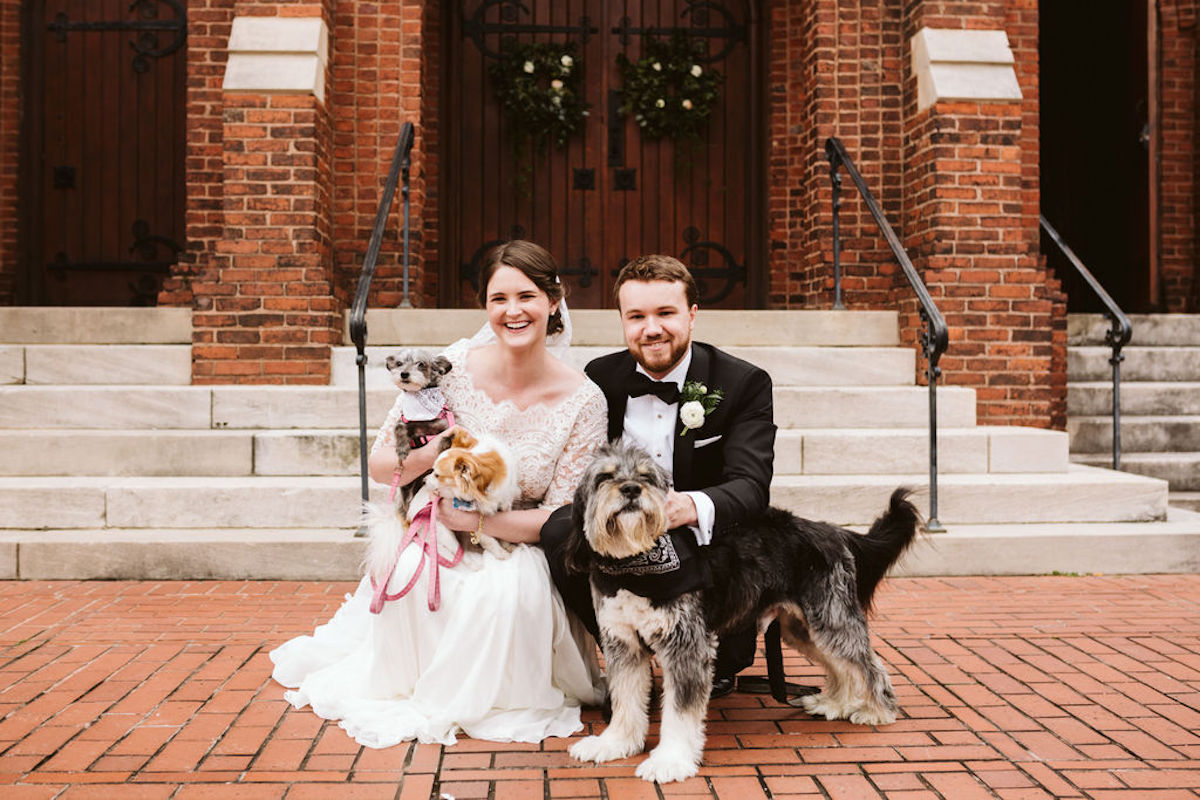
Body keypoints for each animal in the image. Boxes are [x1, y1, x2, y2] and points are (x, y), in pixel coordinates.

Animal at [561, 441, 916, 786]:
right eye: (604, 477)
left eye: (647, 477)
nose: (632, 489)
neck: (634, 567)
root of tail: (833, 532)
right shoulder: (624, 645)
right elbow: (625, 699)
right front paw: (614, 743)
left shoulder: (686, 647)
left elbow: (679, 713)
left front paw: (670, 760)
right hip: (802, 628)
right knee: (841, 666)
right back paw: (835, 704)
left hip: (830, 619)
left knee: (868, 665)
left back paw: (877, 711)